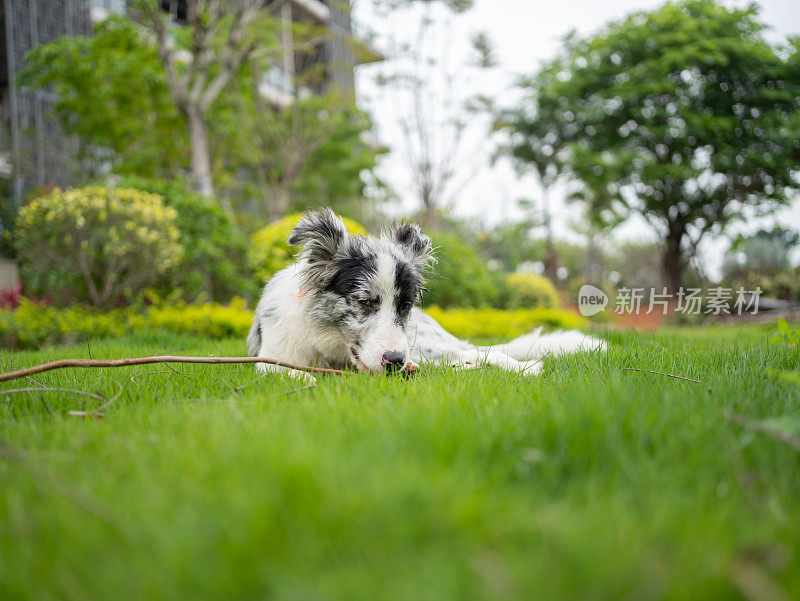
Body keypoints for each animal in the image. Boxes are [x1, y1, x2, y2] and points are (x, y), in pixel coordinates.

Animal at [247, 210, 604, 380]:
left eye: (404, 305)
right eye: (364, 302)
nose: (395, 361)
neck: (328, 343)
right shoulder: (270, 356)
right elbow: (283, 369)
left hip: (426, 344)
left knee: (478, 351)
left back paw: (525, 368)